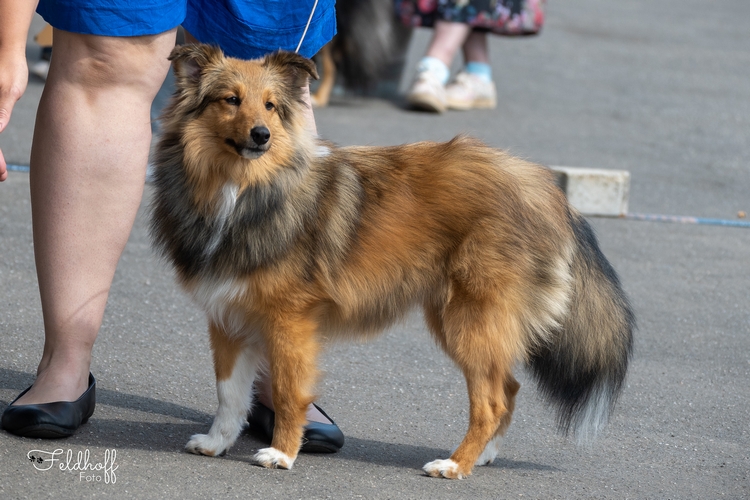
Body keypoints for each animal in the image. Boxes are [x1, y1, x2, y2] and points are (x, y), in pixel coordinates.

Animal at [151, 45, 636, 478]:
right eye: (230, 99)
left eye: (270, 106)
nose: (261, 136)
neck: (242, 191)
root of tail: (547, 189)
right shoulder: (228, 316)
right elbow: (229, 393)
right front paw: (216, 442)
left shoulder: (289, 322)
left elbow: (289, 392)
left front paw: (282, 454)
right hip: (460, 319)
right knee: (510, 388)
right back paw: (483, 456)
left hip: (470, 319)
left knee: (492, 401)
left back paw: (455, 465)